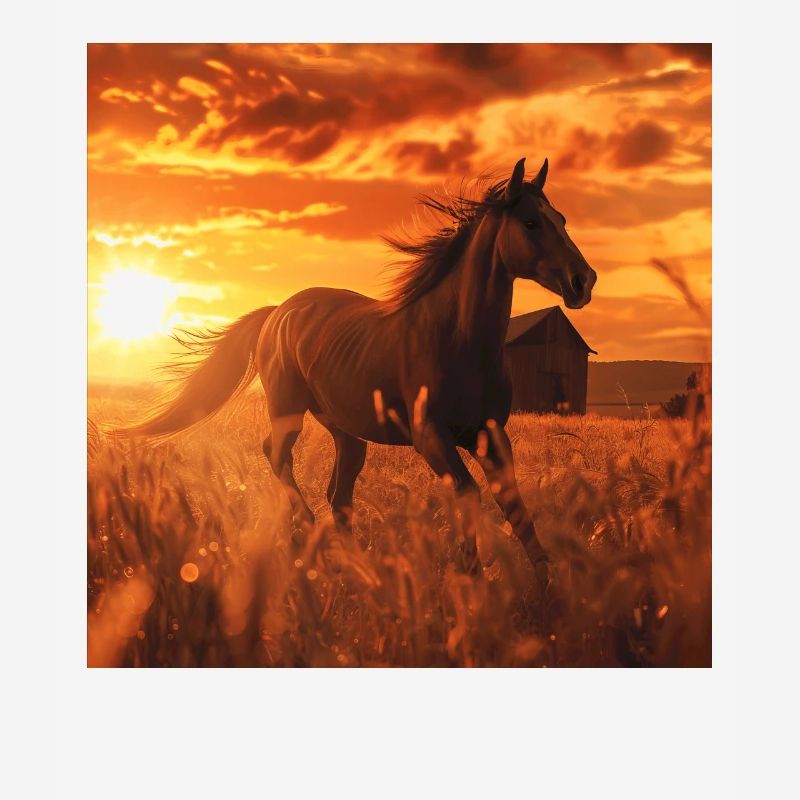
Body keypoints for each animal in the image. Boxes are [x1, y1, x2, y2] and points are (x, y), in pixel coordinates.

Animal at [123, 157, 597, 577]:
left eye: (562, 219)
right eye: (531, 223)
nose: (583, 281)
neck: (457, 339)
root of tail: (278, 312)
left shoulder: (492, 437)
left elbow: (516, 507)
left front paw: (547, 591)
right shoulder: (431, 437)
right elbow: (467, 495)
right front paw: (473, 584)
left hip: (347, 431)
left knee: (339, 493)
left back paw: (352, 566)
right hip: (288, 411)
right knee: (277, 455)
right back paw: (311, 536)